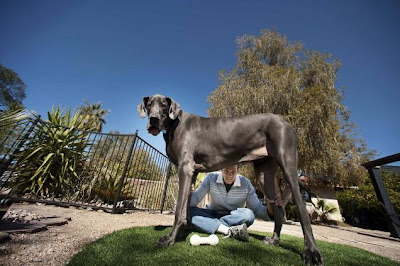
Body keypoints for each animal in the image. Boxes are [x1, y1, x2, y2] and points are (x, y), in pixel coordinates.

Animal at [138, 94, 324, 264]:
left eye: (164, 104)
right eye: (149, 105)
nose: (153, 119)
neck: (174, 124)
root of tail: (286, 122)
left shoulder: (185, 168)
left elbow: (178, 210)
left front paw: (170, 239)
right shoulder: (193, 172)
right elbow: (187, 208)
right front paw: (183, 232)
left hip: (287, 162)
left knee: (302, 210)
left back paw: (312, 252)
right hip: (264, 173)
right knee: (278, 209)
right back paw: (274, 240)